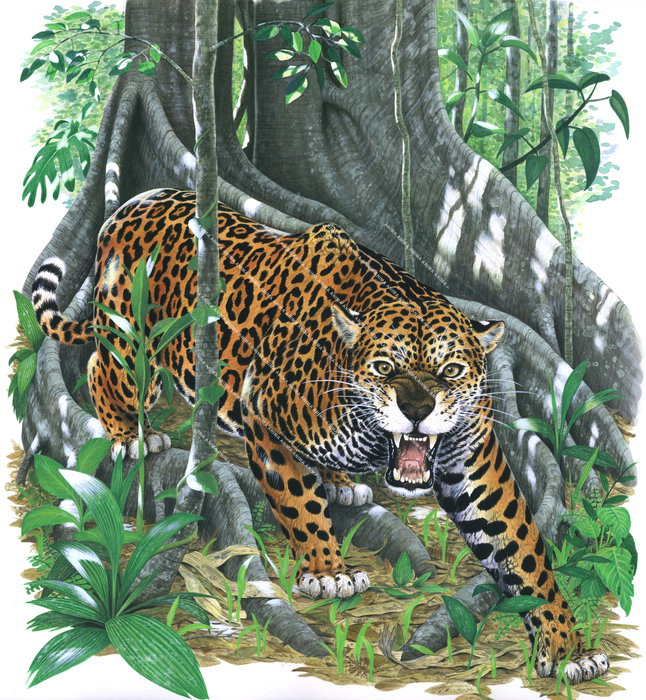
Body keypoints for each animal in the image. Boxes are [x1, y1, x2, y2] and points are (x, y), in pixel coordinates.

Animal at [31, 188, 608, 683]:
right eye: (384, 368)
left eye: (450, 372)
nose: (417, 410)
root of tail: (132, 201)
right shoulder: (261, 412)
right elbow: (297, 503)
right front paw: (328, 571)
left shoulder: (475, 465)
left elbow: (524, 551)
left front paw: (568, 650)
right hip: (133, 341)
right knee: (104, 370)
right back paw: (129, 435)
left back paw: (340, 481)